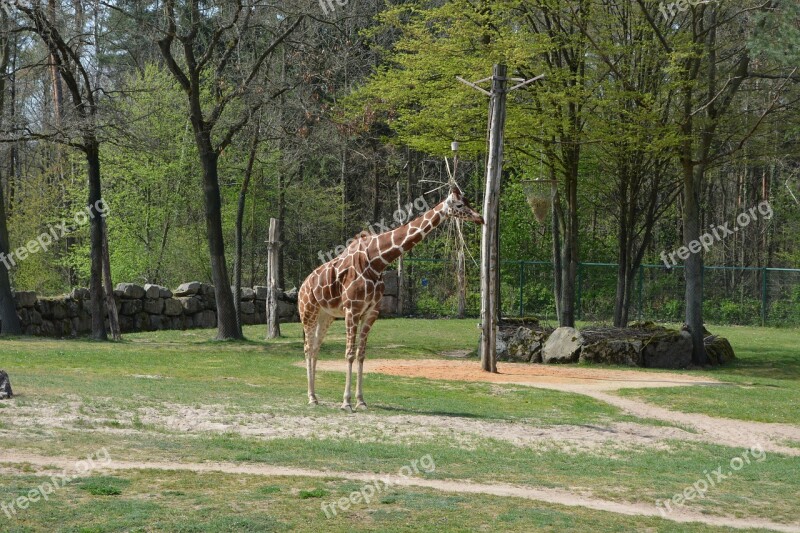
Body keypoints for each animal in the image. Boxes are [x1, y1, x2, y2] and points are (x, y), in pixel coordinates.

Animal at [298, 187, 482, 412]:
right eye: (459, 205)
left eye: (468, 201)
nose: (480, 218)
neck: (377, 261)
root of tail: (302, 286)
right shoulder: (352, 309)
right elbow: (349, 353)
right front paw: (346, 403)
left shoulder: (371, 312)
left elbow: (361, 354)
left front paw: (361, 401)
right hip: (308, 311)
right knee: (308, 348)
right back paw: (310, 397)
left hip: (326, 315)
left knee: (315, 348)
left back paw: (316, 397)